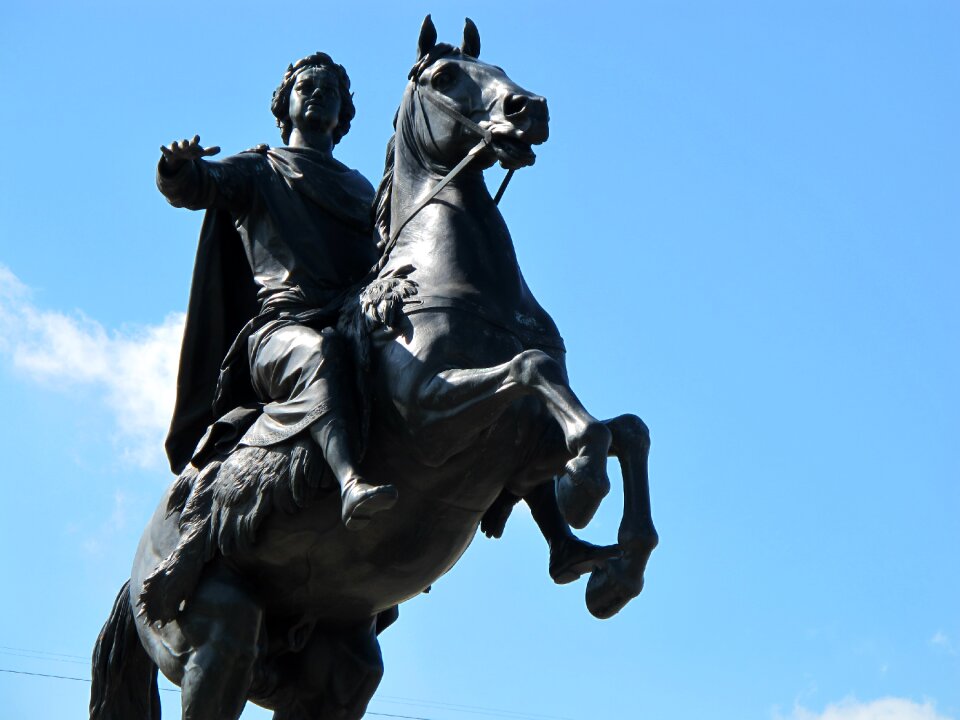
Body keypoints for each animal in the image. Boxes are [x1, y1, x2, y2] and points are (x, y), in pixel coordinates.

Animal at [90, 18, 656, 720]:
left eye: (499, 67)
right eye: (445, 77)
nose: (530, 109)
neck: (449, 277)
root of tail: (137, 570)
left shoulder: (519, 443)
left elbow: (624, 428)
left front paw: (615, 565)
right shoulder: (433, 415)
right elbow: (533, 372)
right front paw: (584, 488)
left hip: (339, 670)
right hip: (218, 638)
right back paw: (361, 495)